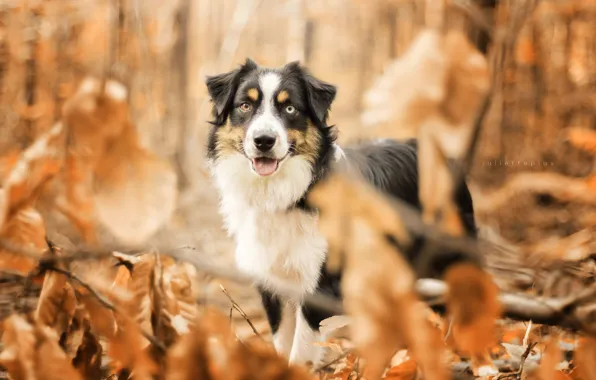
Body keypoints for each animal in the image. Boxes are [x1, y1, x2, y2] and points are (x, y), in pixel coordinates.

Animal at [205, 58, 474, 366]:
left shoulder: (320, 285)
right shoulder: (273, 283)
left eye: (290, 108)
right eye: (245, 106)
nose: (264, 140)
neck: (288, 194)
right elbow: (282, 344)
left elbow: (300, 354)